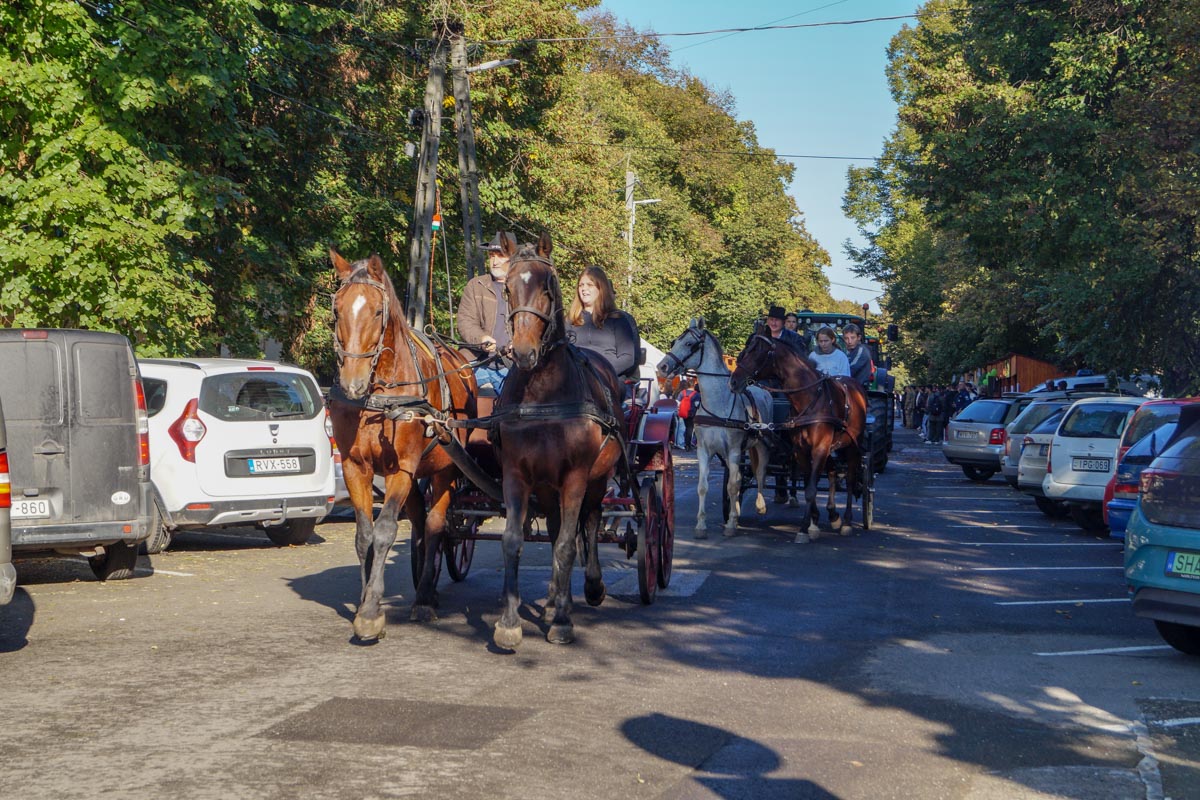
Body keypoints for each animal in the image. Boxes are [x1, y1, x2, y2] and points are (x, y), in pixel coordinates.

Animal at [328, 247, 477, 642]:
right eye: (336, 310)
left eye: (377, 312)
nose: (352, 383)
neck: (379, 397)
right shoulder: (354, 467)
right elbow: (364, 535)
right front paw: (365, 601)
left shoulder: (402, 468)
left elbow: (384, 532)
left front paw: (370, 612)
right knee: (421, 522)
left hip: (443, 468)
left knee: (436, 524)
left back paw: (424, 598)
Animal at [489, 232, 624, 652]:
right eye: (508, 288)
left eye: (547, 288)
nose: (523, 352)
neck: (543, 395)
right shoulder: (517, 474)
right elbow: (513, 540)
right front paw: (509, 622)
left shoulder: (576, 478)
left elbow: (568, 544)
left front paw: (563, 620)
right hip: (547, 486)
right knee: (551, 528)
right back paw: (550, 600)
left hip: (597, 479)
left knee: (590, 523)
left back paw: (588, 588)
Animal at [729, 335, 864, 542]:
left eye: (757, 353)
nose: (734, 381)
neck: (810, 399)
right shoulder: (802, 450)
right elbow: (810, 484)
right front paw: (813, 522)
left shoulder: (819, 448)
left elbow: (810, 490)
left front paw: (803, 529)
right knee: (832, 471)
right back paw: (833, 514)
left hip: (852, 447)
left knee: (849, 479)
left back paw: (847, 522)